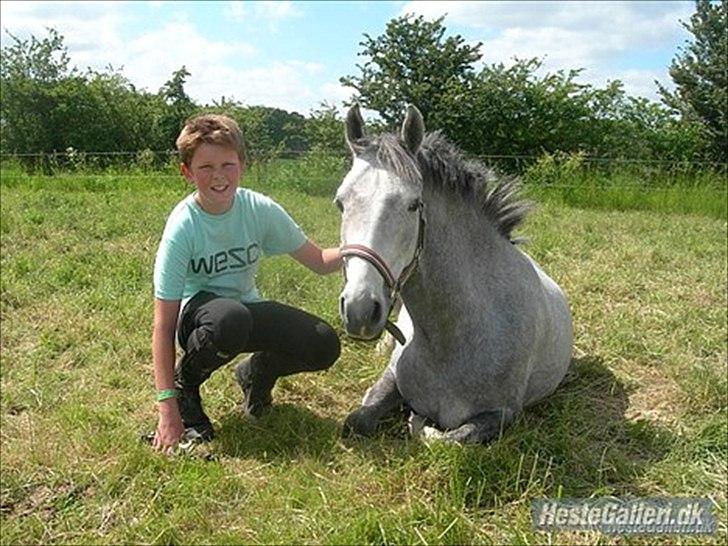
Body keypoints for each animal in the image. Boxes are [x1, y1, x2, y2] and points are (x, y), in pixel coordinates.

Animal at [336, 105, 576, 442]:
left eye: (413, 205)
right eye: (340, 203)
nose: (359, 310)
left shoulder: (501, 414)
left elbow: (447, 440)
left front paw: (419, 423)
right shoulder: (391, 379)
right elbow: (359, 419)